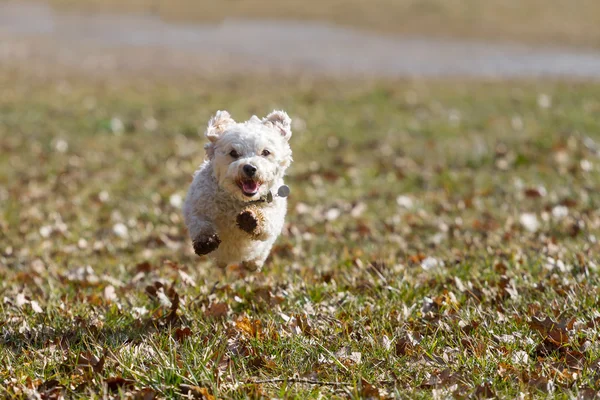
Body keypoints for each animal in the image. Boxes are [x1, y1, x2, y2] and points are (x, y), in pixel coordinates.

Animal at [184, 110, 294, 272]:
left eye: (265, 152)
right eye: (233, 153)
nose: (250, 168)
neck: (239, 200)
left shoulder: (275, 211)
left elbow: (267, 221)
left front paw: (252, 219)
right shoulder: (197, 204)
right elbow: (199, 221)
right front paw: (205, 240)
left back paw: (253, 263)